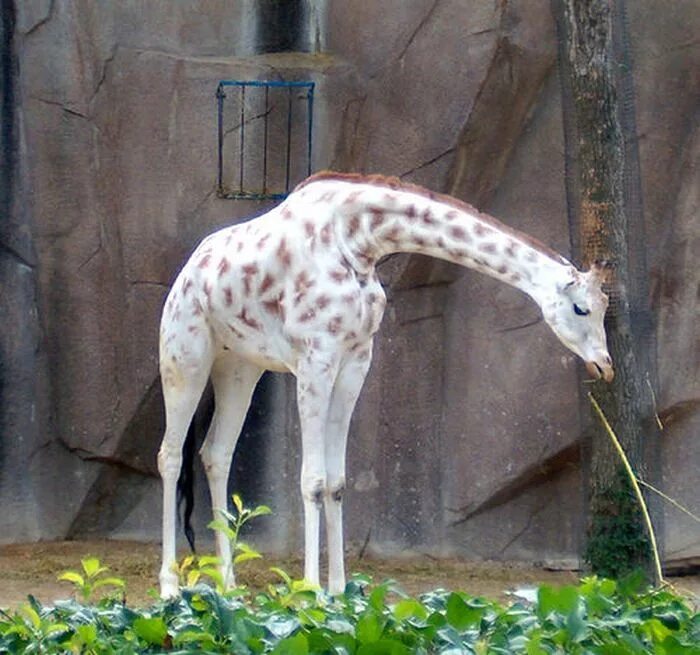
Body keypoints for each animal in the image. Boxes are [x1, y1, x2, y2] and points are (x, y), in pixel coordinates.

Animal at [157, 170, 612, 600]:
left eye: (604, 307)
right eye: (581, 309)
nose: (605, 366)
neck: (358, 241)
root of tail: (188, 271)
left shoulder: (356, 359)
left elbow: (337, 482)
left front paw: (338, 590)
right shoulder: (316, 358)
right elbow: (312, 479)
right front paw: (309, 591)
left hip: (239, 366)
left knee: (216, 453)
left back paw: (228, 583)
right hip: (184, 355)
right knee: (170, 455)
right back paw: (170, 586)